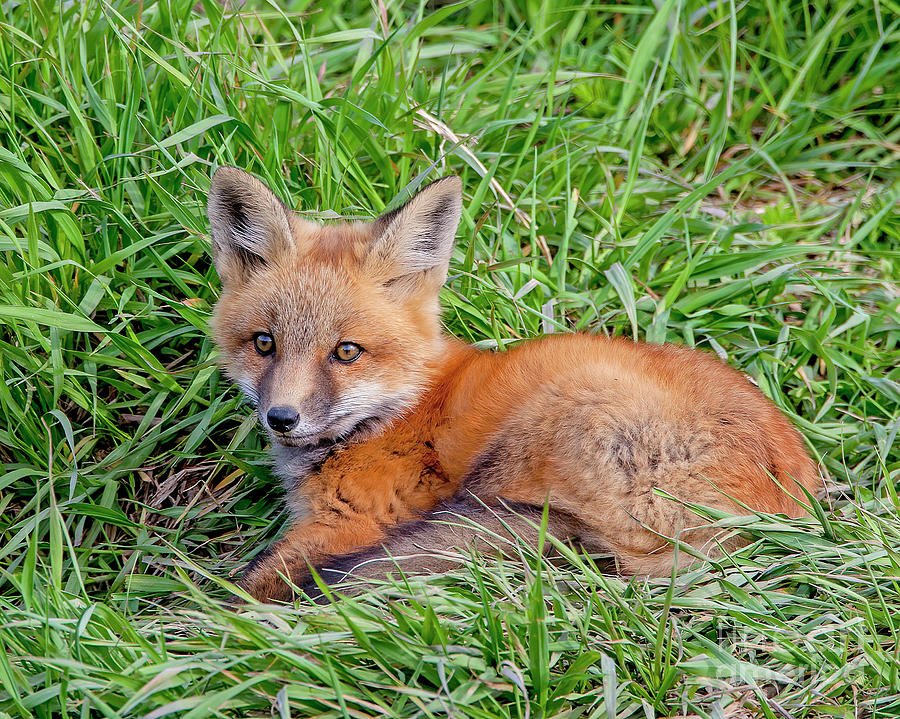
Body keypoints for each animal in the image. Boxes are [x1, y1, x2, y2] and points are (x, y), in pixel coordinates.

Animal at [206, 165, 824, 600]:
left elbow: (248, 586)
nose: (281, 419)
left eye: (346, 352)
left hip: (530, 438)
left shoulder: (351, 523)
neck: (394, 411)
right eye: (264, 343)